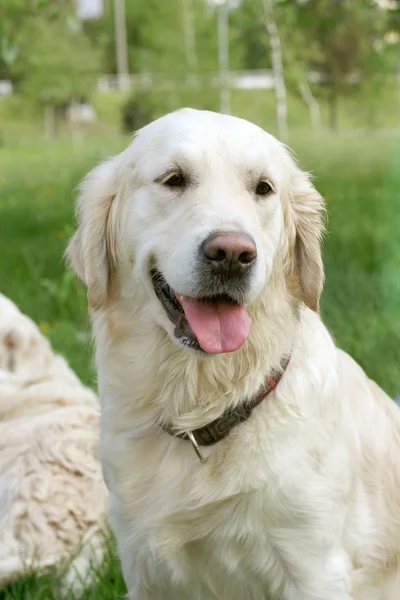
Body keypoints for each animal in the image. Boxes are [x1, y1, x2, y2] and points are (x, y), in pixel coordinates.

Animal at [67, 109, 398, 600]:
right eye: (173, 179)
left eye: (263, 188)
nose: (231, 254)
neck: (205, 404)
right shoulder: (145, 568)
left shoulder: (313, 565)